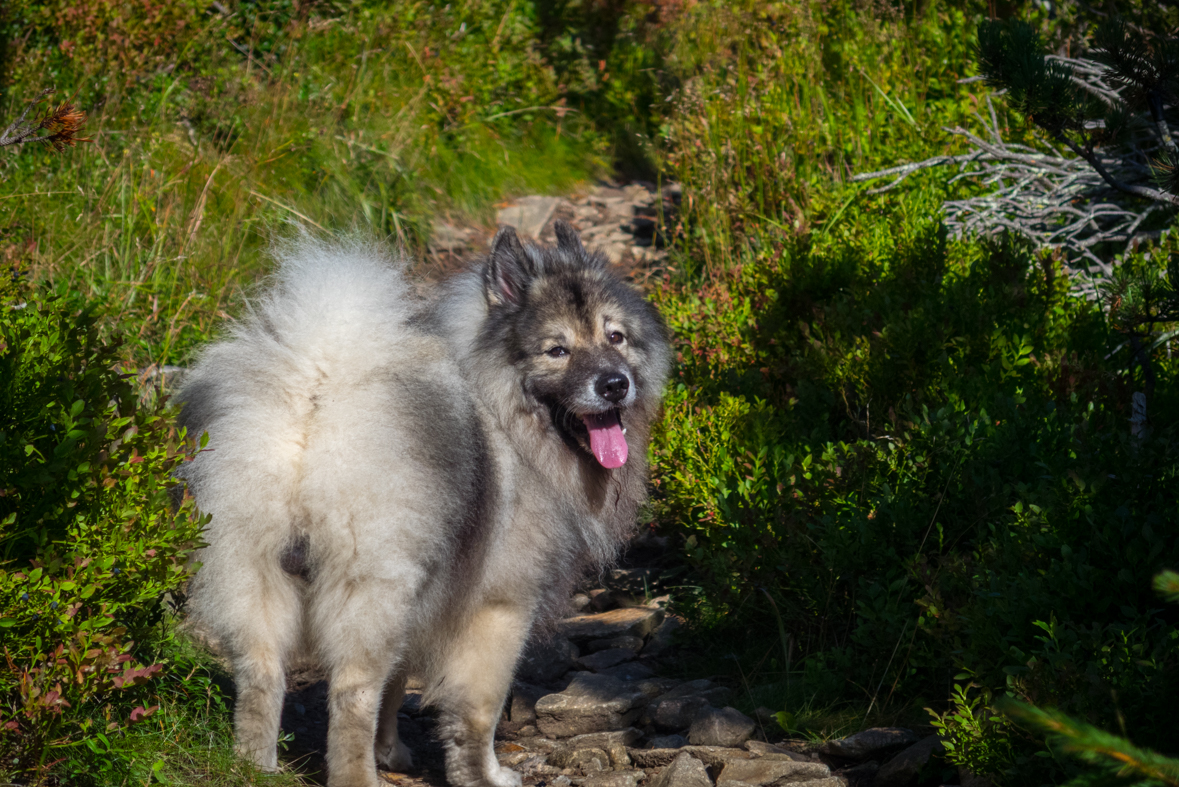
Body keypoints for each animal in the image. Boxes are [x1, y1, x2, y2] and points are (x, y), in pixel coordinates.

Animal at [175, 221, 674, 787]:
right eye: (557, 351)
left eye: (615, 337)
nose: (614, 384)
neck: (508, 417)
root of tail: (314, 400)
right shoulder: (500, 605)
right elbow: (477, 709)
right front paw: (483, 776)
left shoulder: (426, 598)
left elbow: (397, 686)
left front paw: (392, 750)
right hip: (370, 587)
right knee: (350, 693)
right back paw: (358, 777)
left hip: (254, 571)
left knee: (261, 676)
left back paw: (254, 767)